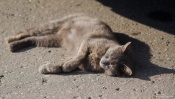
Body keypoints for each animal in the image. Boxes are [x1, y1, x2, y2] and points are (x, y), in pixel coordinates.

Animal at [5, 13, 135, 76]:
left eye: (111, 65)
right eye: (109, 55)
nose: (104, 62)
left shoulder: (82, 63)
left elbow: (60, 65)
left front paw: (48, 68)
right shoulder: (87, 42)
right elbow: (79, 56)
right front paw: (68, 65)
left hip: (50, 39)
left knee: (32, 39)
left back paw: (14, 46)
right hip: (53, 25)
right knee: (29, 31)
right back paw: (10, 39)